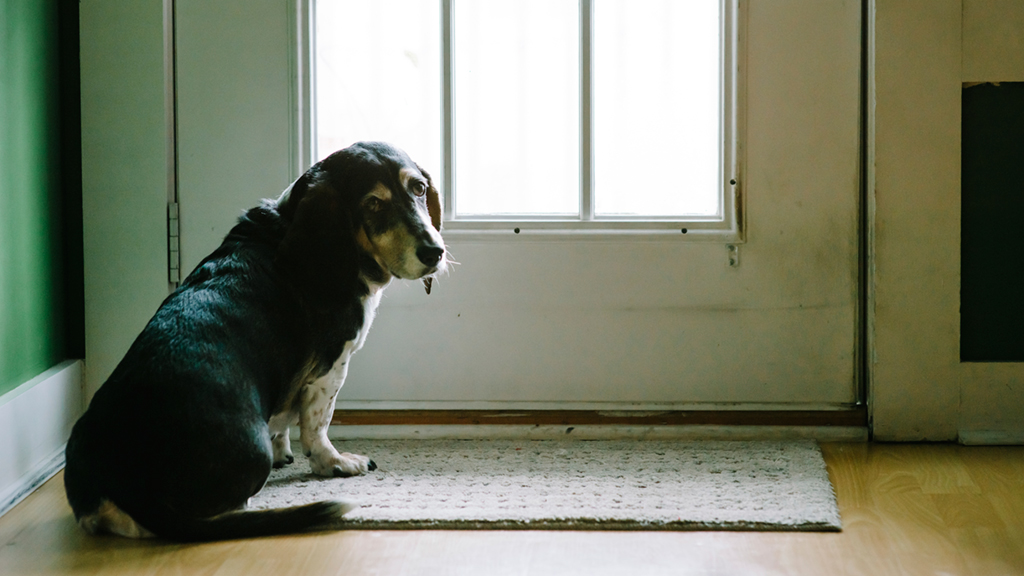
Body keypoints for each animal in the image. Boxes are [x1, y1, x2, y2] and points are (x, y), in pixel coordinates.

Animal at [64, 141, 446, 541]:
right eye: (373, 203)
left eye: (419, 188)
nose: (434, 252)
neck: (287, 226)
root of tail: (132, 488)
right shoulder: (330, 369)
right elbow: (318, 425)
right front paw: (335, 462)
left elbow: (284, 422)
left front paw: (286, 451)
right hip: (252, 450)